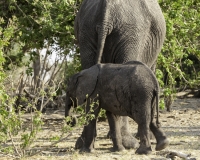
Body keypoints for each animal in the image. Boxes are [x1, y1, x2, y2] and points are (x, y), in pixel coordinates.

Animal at [65, 0, 166, 151]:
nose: (73, 120)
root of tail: (105, 17)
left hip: (87, 31)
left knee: (88, 67)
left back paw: (82, 143)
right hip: (131, 32)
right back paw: (129, 143)